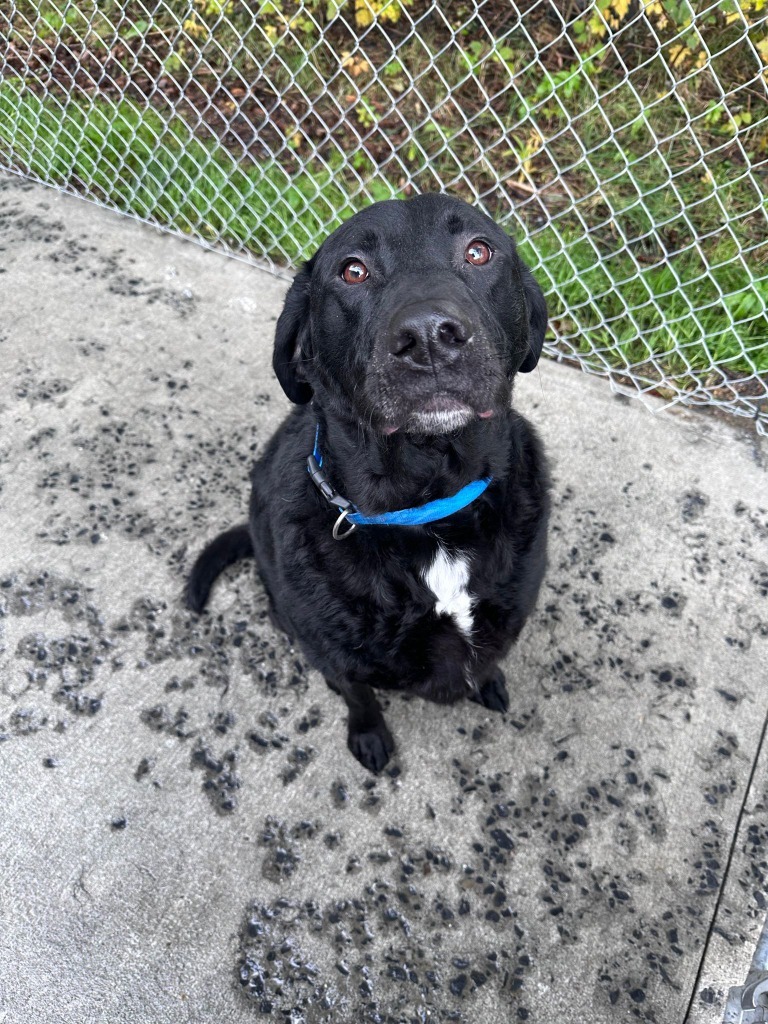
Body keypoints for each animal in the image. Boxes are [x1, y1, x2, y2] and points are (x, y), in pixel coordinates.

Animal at [188, 192, 548, 770]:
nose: (429, 337)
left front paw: (488, 683)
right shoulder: (333, 653)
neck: (428, 508)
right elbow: (358, 695)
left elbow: (489, 659)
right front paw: (369, 735)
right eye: (352, 270)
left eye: (479, 251)